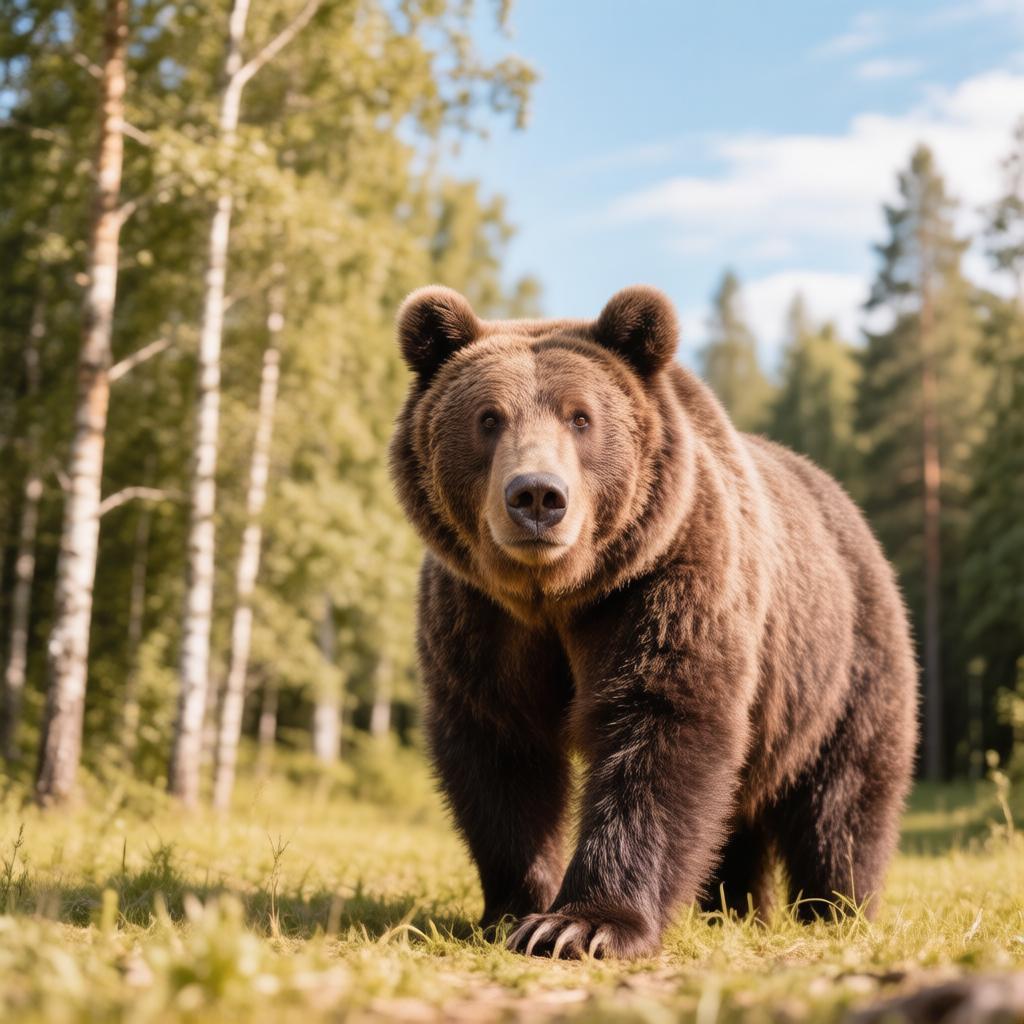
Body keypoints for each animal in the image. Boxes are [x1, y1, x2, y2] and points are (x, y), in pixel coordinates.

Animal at [389, 284, 917, 960]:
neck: (555, 595)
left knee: (844, 798)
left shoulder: (664, 579)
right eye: (488, 418)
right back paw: (733, 909)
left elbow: (661, 723)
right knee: (738, 812)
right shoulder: (479, 618)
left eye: (581, 417)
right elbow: (498, 750)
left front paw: (581, 925)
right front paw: (514, 907)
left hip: (843, 661)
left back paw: (836, 910)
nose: (537, 496)